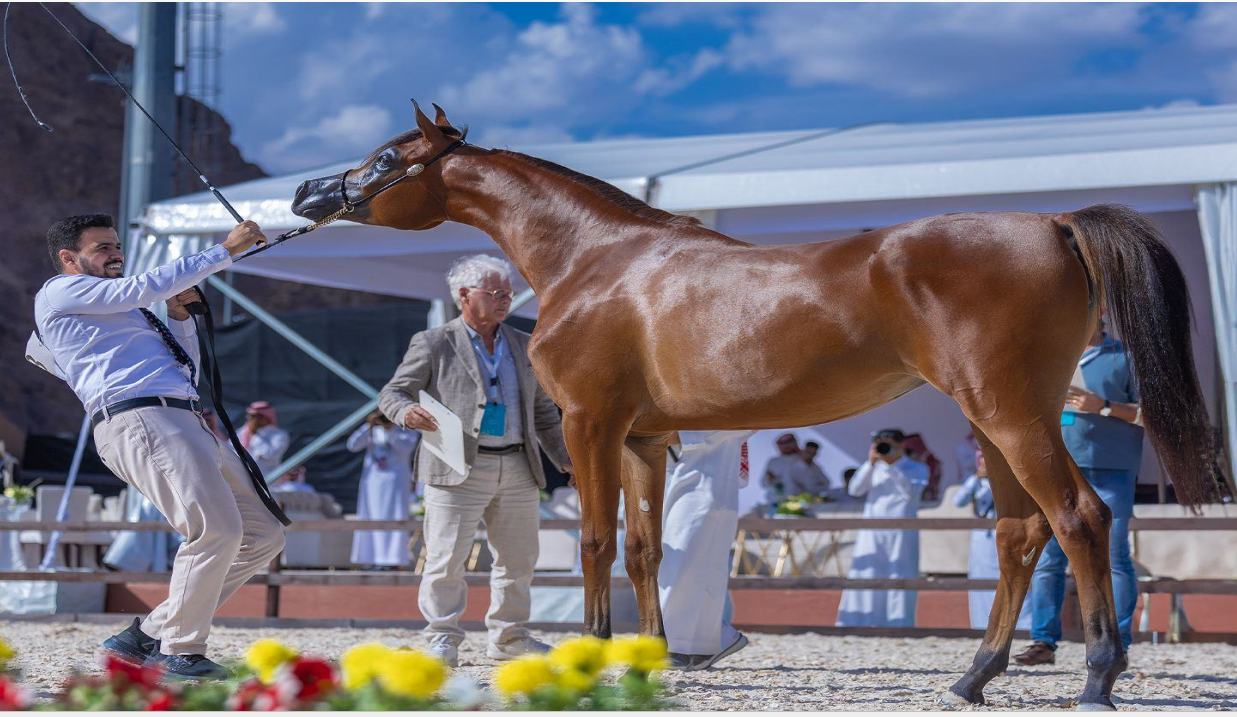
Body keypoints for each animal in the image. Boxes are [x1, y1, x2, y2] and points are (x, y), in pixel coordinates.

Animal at [290, 103, 1220, 710]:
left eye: (386, 159)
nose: (307, 194)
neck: (595, 258)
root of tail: (1054, 222)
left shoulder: (591, 423)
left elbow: (593, 543)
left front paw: (594, 656)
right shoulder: (643, 439)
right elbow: (643, 548)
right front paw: (649, 658)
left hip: (1013, 415)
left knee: (1080, 516)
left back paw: (1097, 676)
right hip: (994, 419)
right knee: (1022, 530)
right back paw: (971, 676)